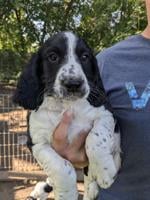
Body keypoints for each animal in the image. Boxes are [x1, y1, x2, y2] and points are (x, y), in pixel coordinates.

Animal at [12, 31, 120, 200]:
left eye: (85, 57)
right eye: (53, 57)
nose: (73, 84)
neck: (66, 105)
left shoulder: (106, 114)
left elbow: (96, 138)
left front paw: (105, 172)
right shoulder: (37, 143)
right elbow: (61, 167)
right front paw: (66, 193)